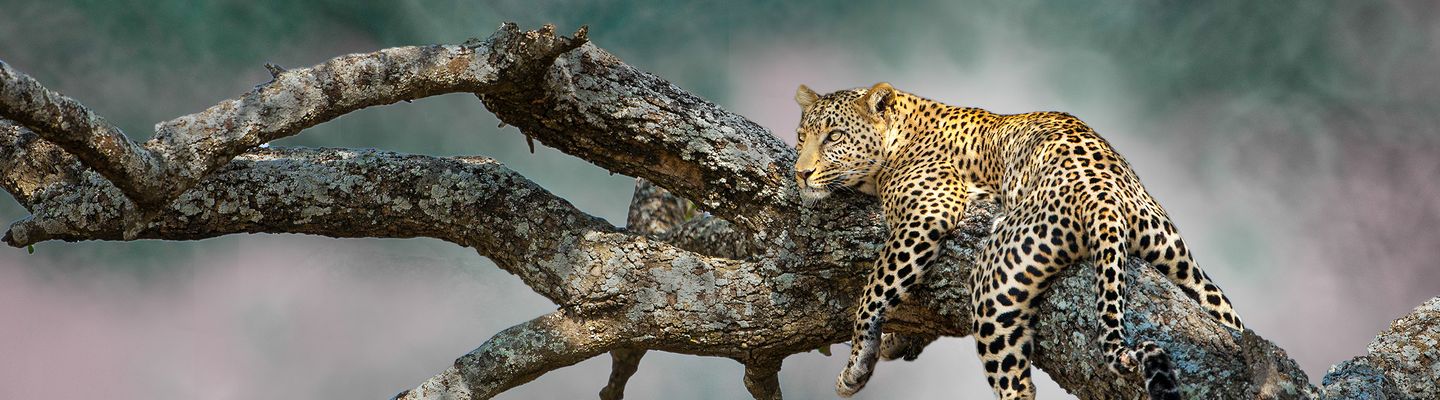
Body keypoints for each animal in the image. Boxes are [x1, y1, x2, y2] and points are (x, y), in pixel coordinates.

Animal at [794, 82, 1244, 397]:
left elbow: (872, 291)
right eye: (801, 136)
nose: (800, 173)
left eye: (834, 136)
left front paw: (857, 365)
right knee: (1228, 318)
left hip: (993, 284)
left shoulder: (926, 214)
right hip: (1182, 264)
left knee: (1017, 385)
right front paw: (894, 341)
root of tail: (1101, 196)